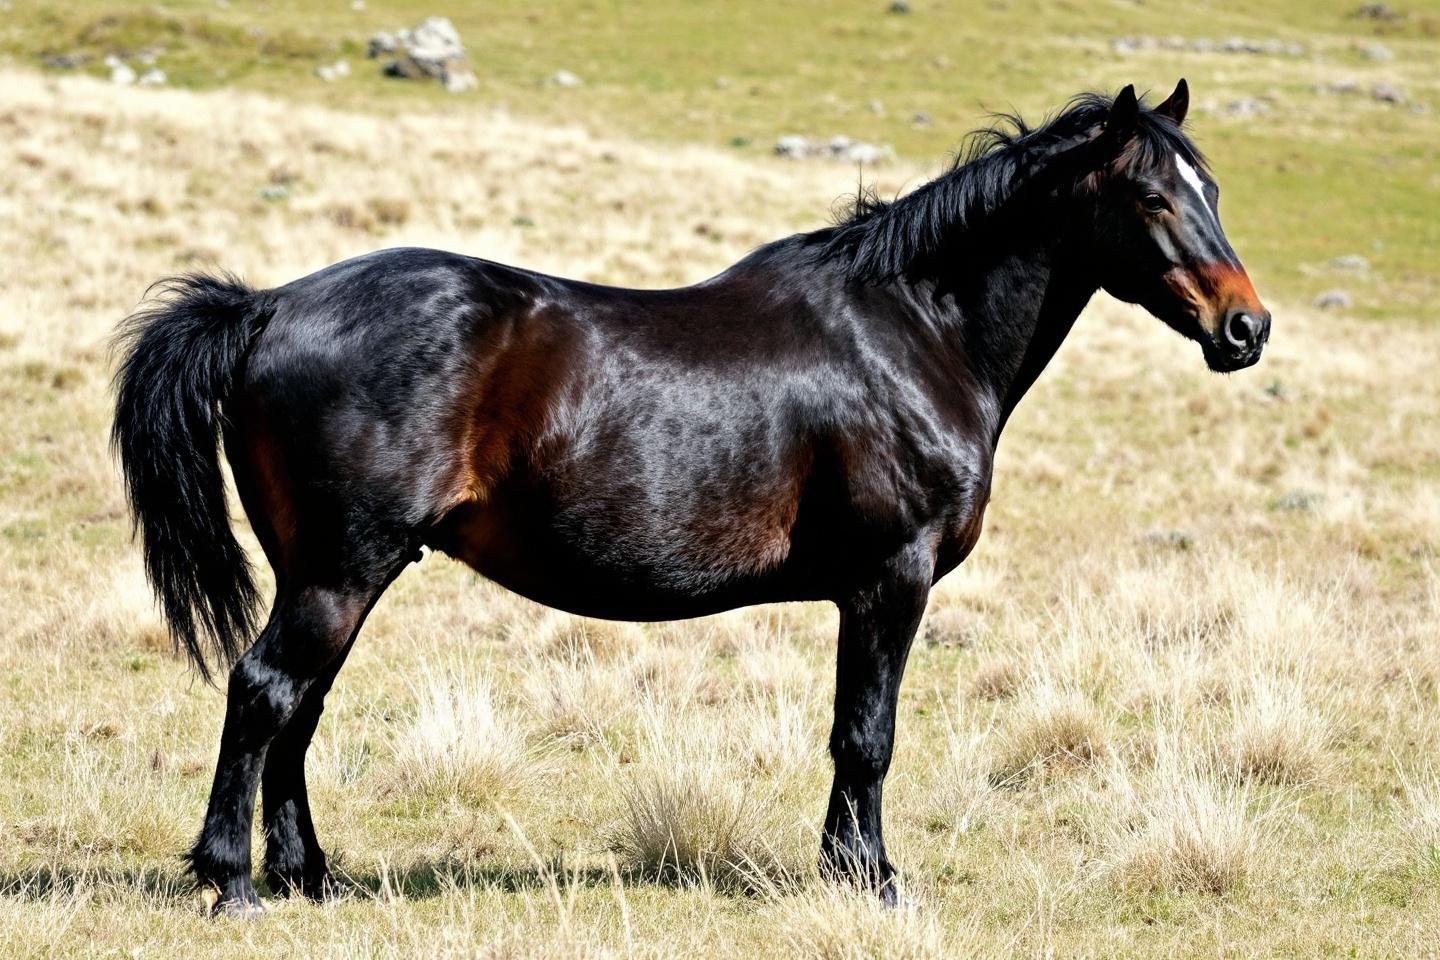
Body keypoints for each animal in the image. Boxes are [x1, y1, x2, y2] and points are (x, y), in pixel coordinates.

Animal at [112, 79, 1269, 916]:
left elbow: (852, 734)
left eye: (1214, 193)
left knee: (298, 710)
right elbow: (868, 736)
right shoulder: (889, 580)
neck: (911, 333)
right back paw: (233, 881)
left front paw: (846, 871)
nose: (1246, 328)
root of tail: (267, 307)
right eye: (1153, 198)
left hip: (333, 574)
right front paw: (872, 883)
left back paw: (311, 877)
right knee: (265, 692)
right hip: (340, 572)